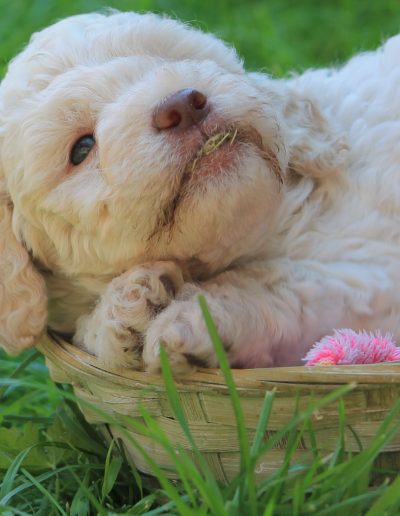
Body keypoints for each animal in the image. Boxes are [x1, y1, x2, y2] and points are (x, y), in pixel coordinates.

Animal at [0, 10, 400, 372]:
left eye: (167, 61)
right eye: (81, 149)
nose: (183, 104)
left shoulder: (369, 272)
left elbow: (284, 283)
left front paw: (193, 317)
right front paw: (120, 311)